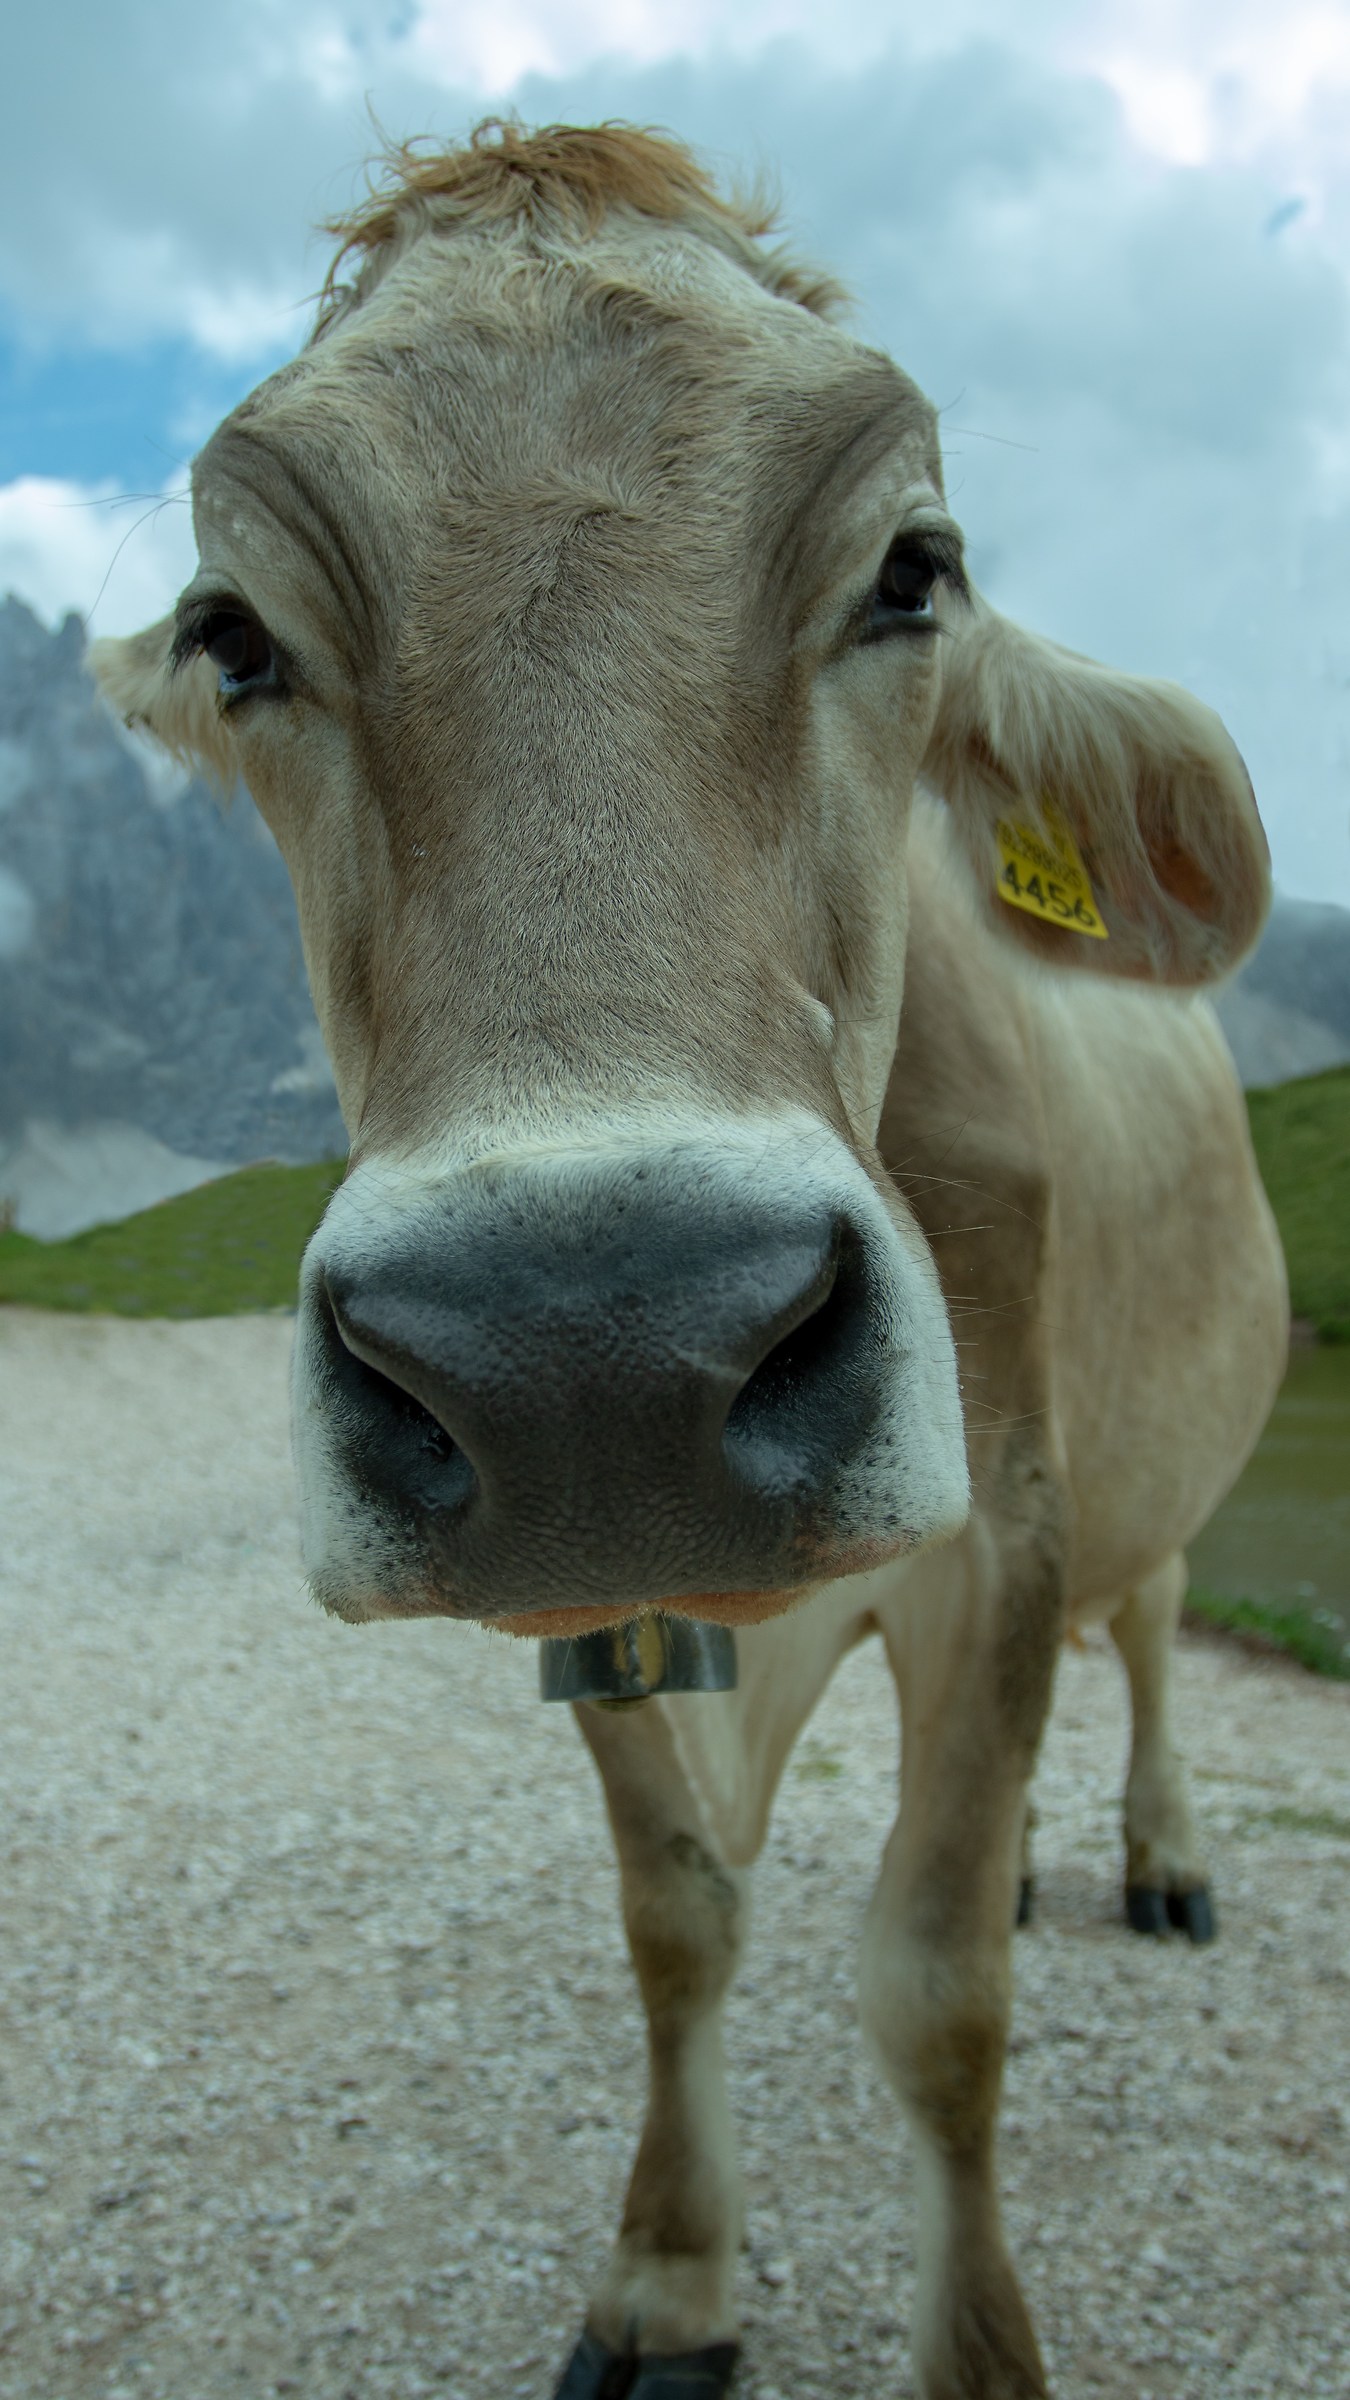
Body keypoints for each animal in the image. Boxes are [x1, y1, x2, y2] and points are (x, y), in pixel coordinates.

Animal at [91, 122, 1288, 2400]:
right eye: (233, 635)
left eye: (914, 569)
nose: (592, 1348)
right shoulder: (597, 1597)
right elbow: (676, 1920)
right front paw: (665, 2276)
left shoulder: (1005, 1519)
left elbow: (932, 1989)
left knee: (1162, 1625)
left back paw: (1162, 1854)